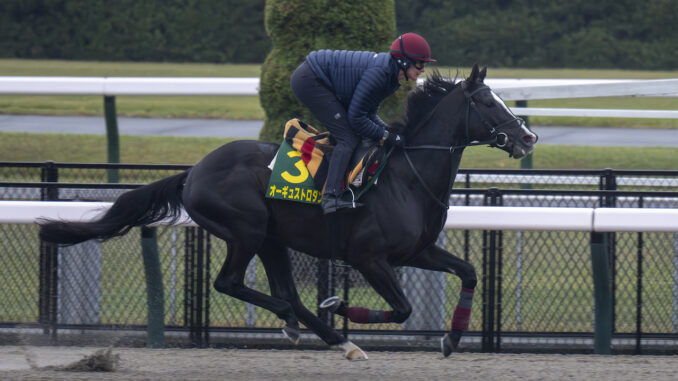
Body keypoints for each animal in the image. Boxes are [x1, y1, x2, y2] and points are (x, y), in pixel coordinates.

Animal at [39, 65, 540, 360]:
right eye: (487, 102)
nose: (528, 137)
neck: (407, 176)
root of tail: (194, 171)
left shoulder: (416, 251)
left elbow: (469, 271)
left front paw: (453, 338)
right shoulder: (370, 258)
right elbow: (401, 309)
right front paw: (339, 304)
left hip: (272, 239)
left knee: (288, 294)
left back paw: (332, 337)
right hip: (246, 230)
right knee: (233, 284)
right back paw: (320, 330)